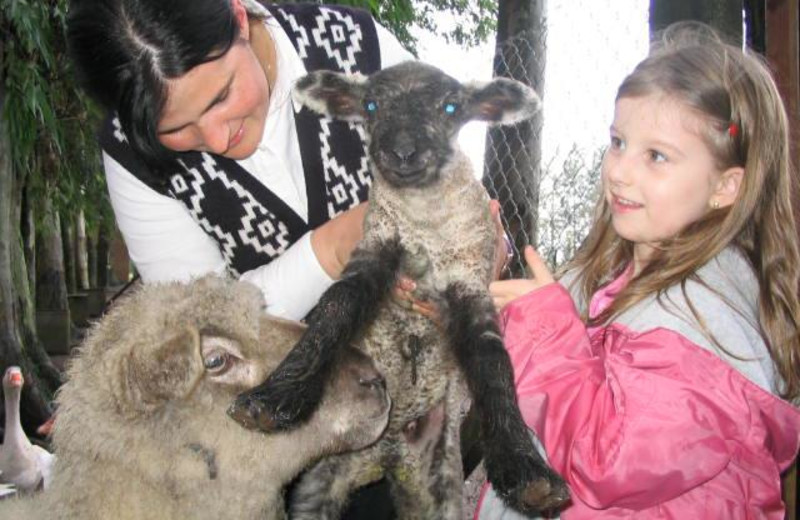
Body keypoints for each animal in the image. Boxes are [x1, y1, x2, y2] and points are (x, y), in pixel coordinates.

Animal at [230, 62, 568, 520]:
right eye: (371, 105)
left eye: (451, 106)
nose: (403, 152)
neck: (425, 221)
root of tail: (383, 460)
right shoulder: (376, 246)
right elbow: (334, 310)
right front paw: (275, 396)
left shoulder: (471, 281)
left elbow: (494, 363)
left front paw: (525, 470)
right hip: (321, 482)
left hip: (437, 481)